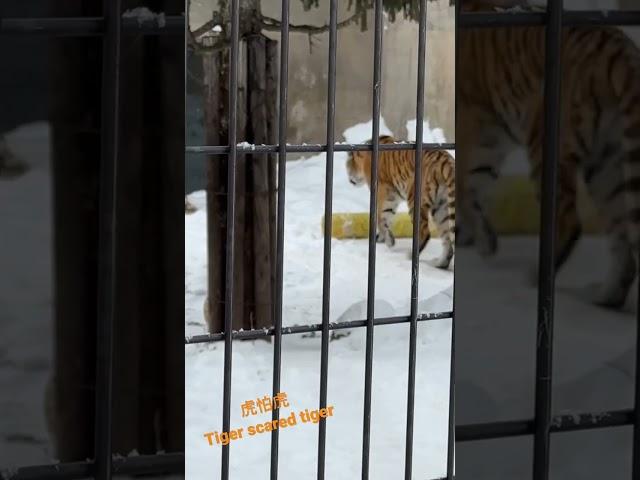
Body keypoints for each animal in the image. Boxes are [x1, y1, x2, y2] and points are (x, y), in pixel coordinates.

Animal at [344, 135, 456, 270]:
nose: (349, 179)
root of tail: (446, 160)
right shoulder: (392, 196)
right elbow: (385, 218)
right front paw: (384, 238)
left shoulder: (383, 193)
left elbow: (381, 217)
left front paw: (388, 241)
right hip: (441, 208)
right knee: (447, 239)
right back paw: (440, 263)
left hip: (416, 200)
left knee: (424, 232)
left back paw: (410, 255)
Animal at [458, 0, 640, 308]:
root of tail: (618, 46)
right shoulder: (488, 137)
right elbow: (472, 187)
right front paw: (481, 240)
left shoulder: (474, 129)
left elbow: (465, 187)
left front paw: (474, 240)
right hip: (608, 163)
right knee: (621, 235)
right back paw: (606, 296)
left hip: (545, 145)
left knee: (569, 221)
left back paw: (535, 277)